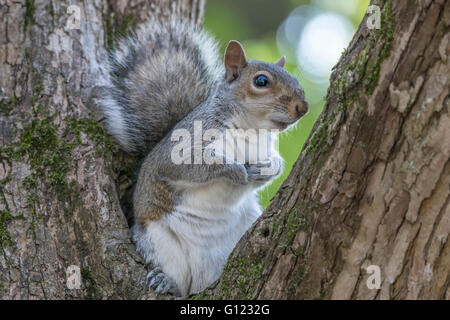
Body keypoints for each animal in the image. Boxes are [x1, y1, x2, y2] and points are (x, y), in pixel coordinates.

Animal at [100, 18, 308, 298]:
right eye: (262, 81)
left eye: (295, 78)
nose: (303, 107)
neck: (250, 130)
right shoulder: (181, 149)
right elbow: (194, 165)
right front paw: (234, 170)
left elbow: (274, 166)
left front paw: (266, 168)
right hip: (159, 243)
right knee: (177, 282)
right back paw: (167, 281)